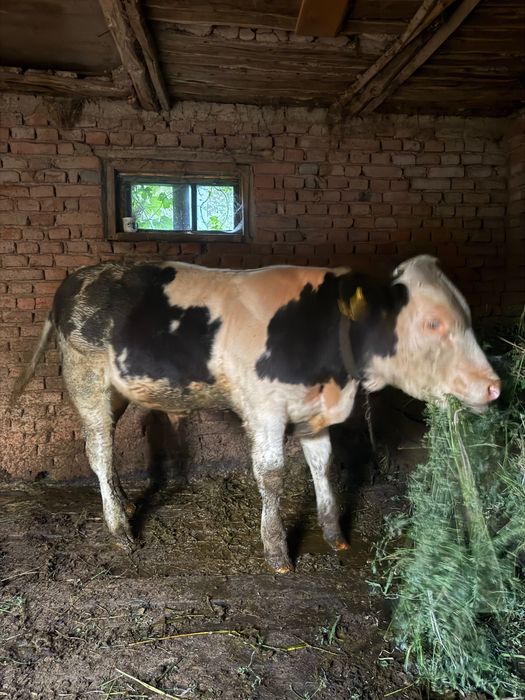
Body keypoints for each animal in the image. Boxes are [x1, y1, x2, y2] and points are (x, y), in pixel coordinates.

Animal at [10, 255, 500, 572]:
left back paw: (125, 502)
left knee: (107, 450)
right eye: (433, 322)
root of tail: (77, 278)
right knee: (98, 450)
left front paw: (334, 533)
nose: (493, 385)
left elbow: (323, 466)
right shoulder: (265, 408)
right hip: (85, 377)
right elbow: (271, 475)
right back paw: (120, 530)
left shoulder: (311, 408)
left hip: (116, 389)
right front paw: (277, 551)